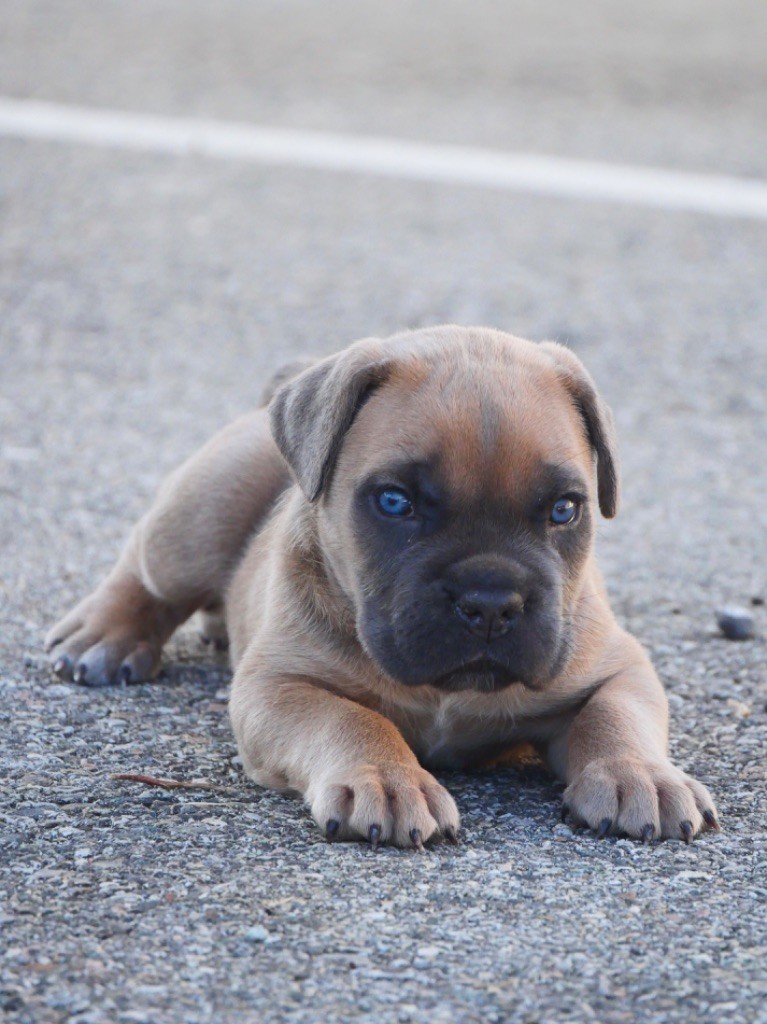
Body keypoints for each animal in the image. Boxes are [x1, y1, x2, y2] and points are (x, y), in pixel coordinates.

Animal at [46, 325, 716, 847]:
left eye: (564, 509)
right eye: (395, 502)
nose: (490, 602)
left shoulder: (618, 666)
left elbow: (615, 712)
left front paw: (639, 775)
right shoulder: (277, 686)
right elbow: (350, 718)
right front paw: (389, 781)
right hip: (197, 518)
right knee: (147, 569)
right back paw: (101, 636)